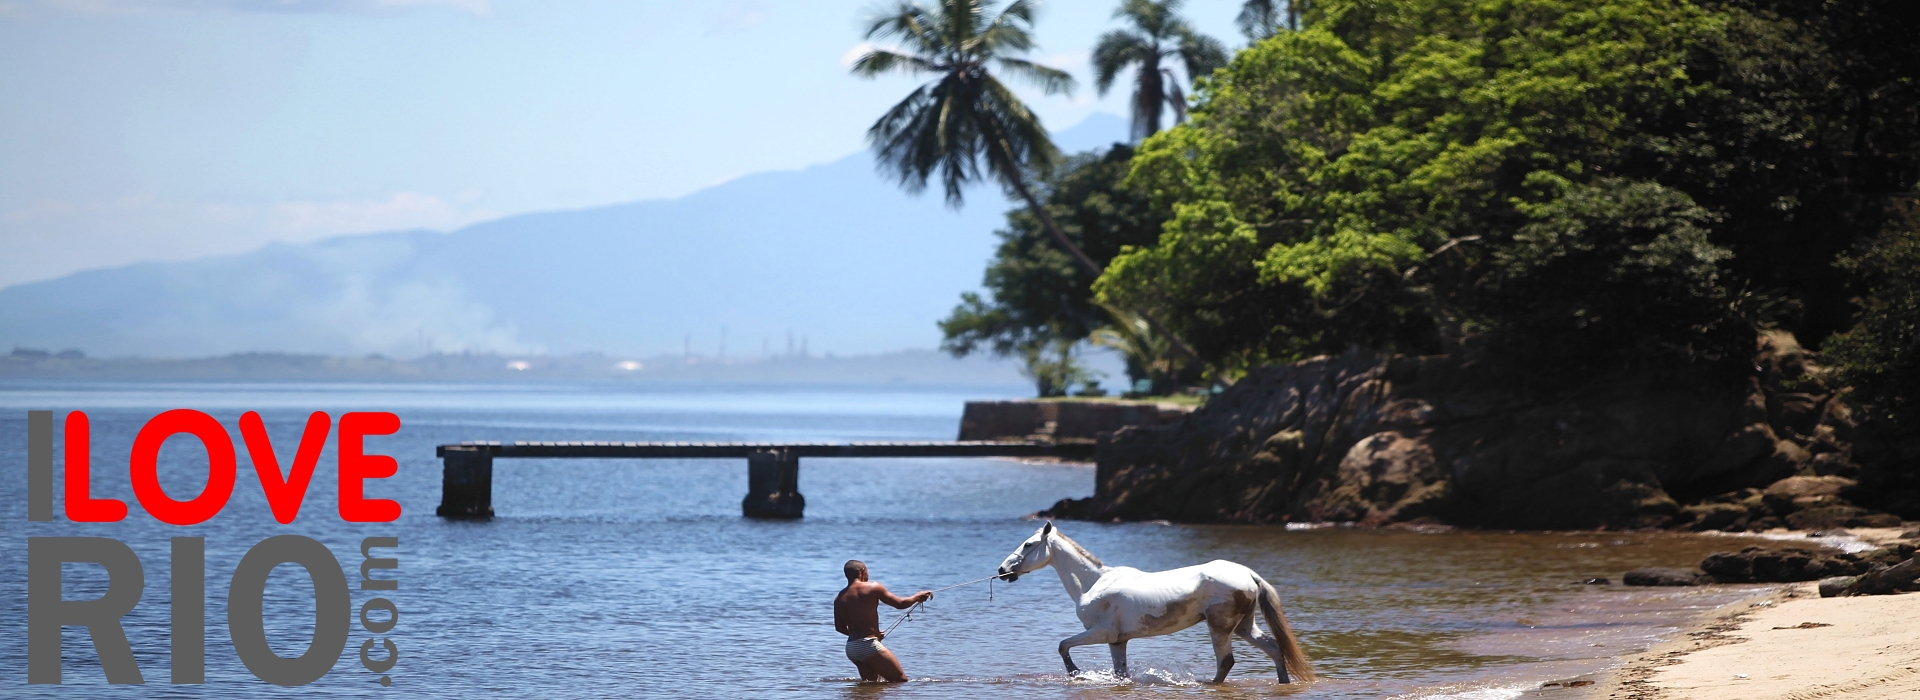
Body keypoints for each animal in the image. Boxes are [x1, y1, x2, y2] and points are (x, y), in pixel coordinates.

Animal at [998, 517, 1313, 682]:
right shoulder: (1117, 641)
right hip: (1244, 626)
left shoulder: (1101, 633)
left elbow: (1063, 645)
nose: (1002, 570)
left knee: (1226, 662)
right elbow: (1120, 673)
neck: (1094, 584)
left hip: (1220, 627)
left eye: (1028, 544)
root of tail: (1248, 573)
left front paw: (1075, 672)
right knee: (1274, 648)